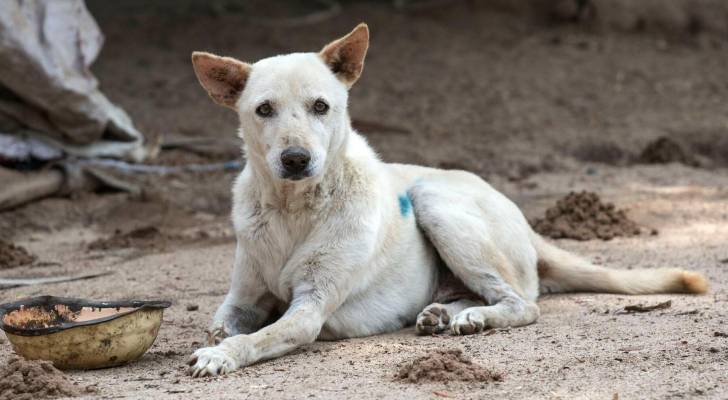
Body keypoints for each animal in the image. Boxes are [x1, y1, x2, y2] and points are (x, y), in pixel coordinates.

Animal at [186, 24, 704, 376]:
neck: (293, 209)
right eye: (264, 110)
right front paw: (215, 340)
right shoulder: (242, 300)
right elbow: (224, 324)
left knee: (523, 303)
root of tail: (525, 223)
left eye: (320, 107)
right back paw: (445, 313)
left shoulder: (310, 309)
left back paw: (472, 316)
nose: (296, 159)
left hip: (434, 201)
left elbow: (257, 337)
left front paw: (220, 355)